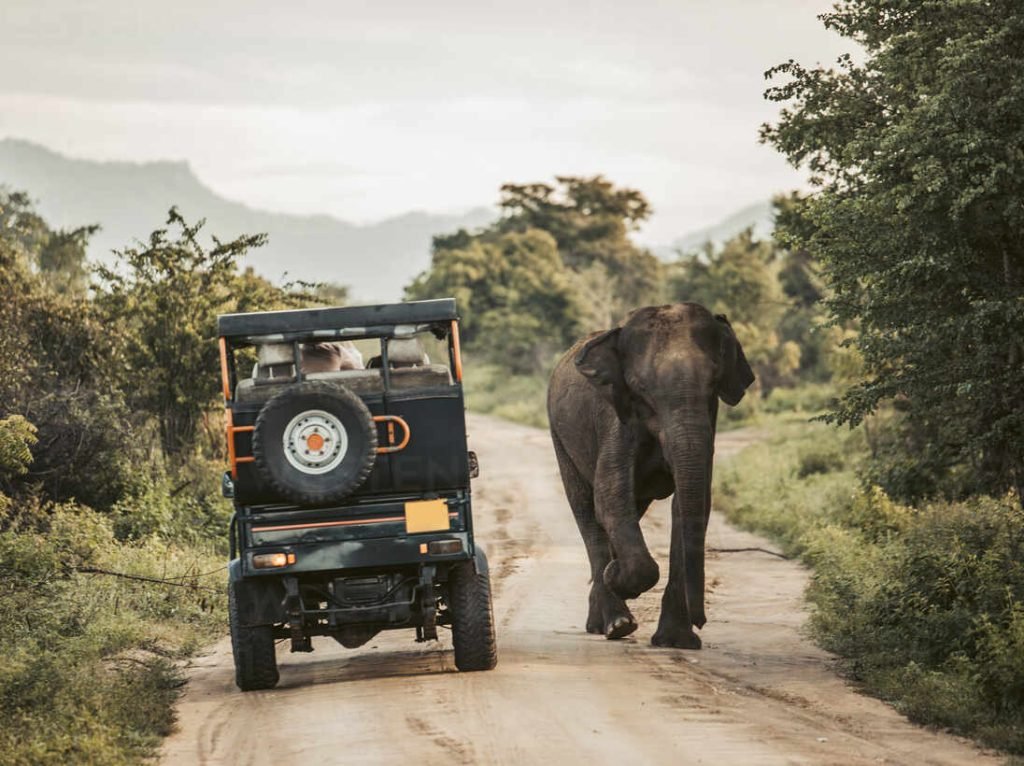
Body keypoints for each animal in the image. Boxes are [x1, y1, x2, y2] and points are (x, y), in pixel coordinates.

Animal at [547, 303, 755, 649]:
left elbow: (690, 505)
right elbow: (609, 497)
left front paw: (676, 642)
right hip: (560, 438)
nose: (701, 621)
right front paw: (615, 576)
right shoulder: (616, 419)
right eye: (641, 389)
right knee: (586, 510)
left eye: (713, 383)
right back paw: (616, 623)